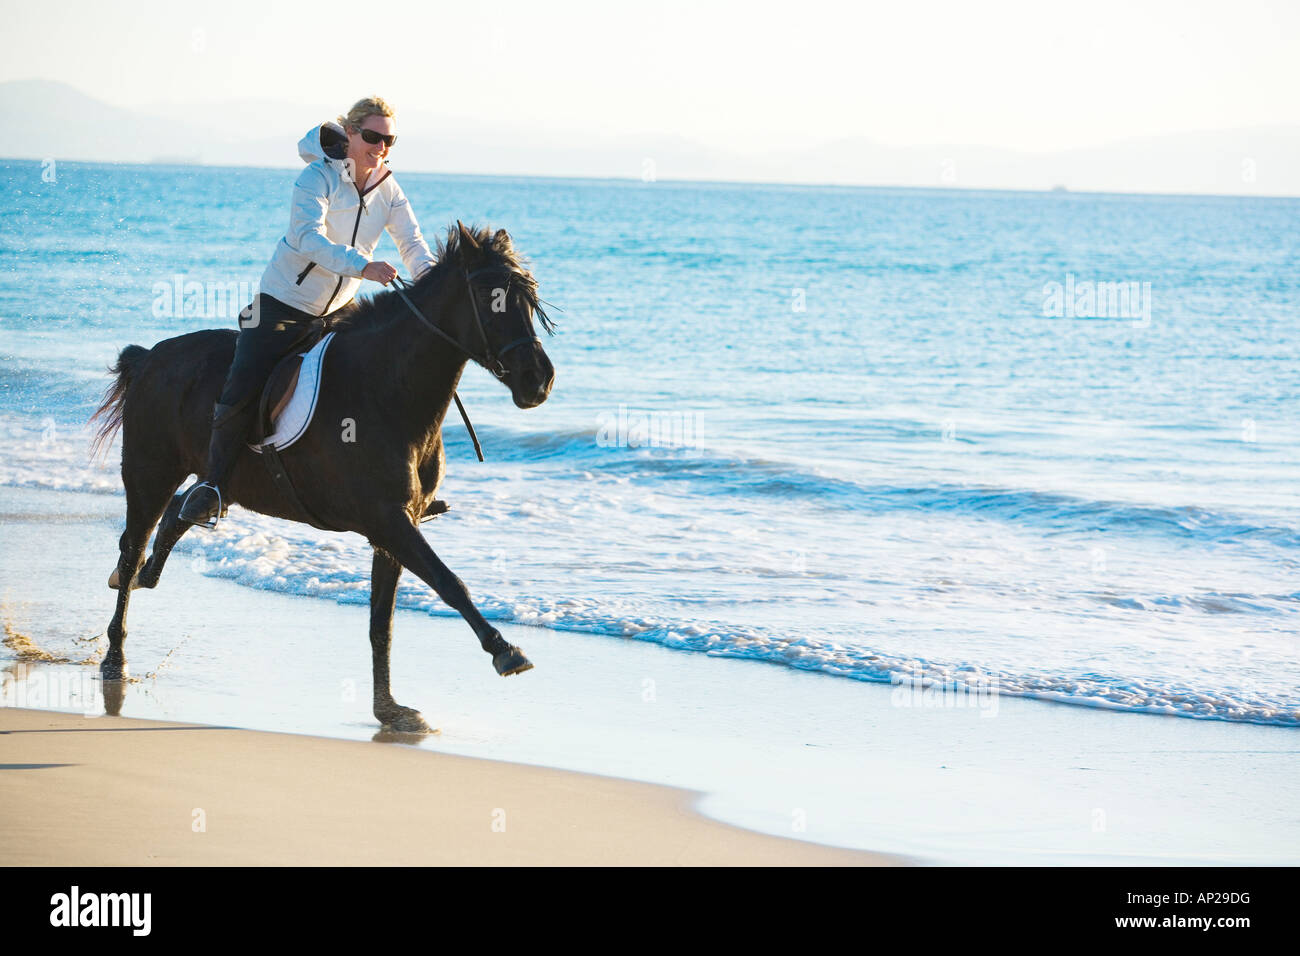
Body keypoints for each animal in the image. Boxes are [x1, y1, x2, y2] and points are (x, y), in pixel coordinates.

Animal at [90, 223, 559, 733]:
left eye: (529, 298)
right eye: (491, 298)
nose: (539, 380)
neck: (387, 389)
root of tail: (149, 357)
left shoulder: (393, 529)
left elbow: (381, 623)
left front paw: (388, 709)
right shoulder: (388, 521)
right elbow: (449, 582)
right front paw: (505, 651)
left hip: (216, 482)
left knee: (180, 513)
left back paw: (144, 574)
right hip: (149, 473)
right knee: (132, 548)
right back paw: (114, 657)